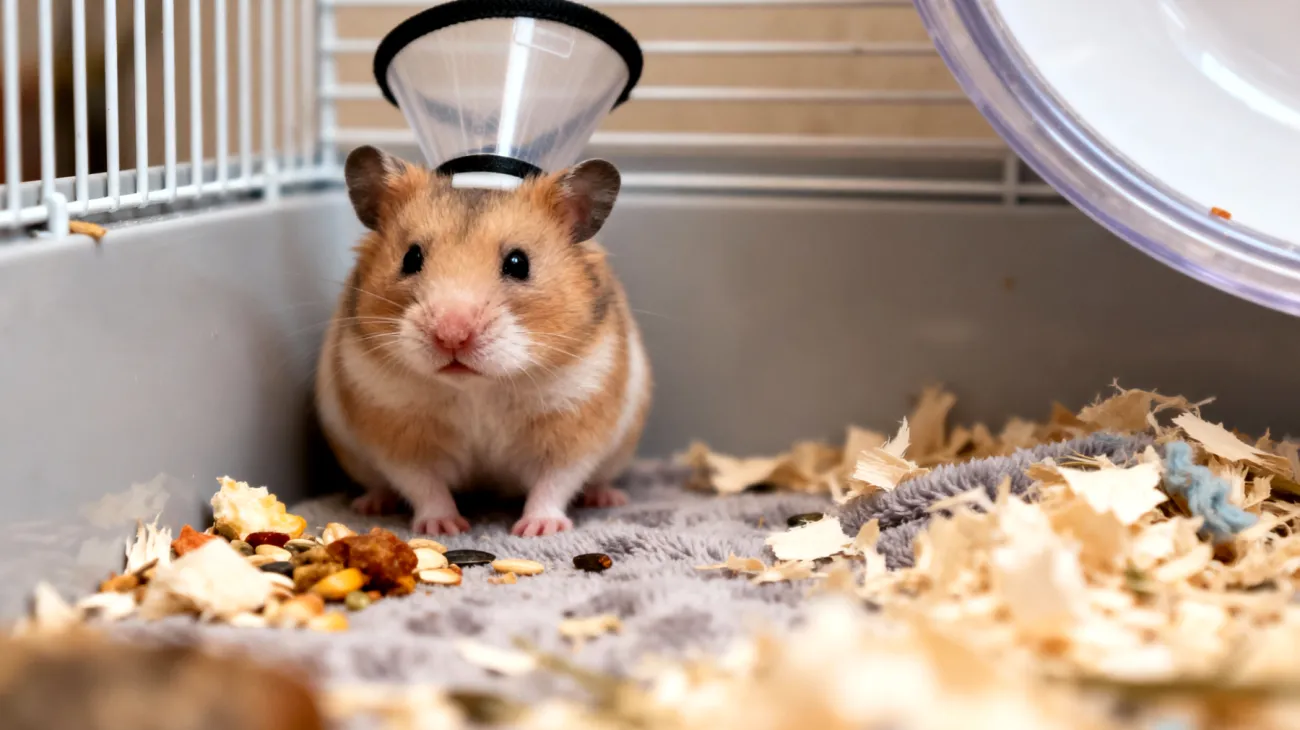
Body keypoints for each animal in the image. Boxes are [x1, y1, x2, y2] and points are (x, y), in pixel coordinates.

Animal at [315, 146, 652, 537]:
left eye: (519, 263)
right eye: (411, 258)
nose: (451, 335)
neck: (477, 388)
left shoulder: (574, 420)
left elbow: (555, 482)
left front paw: (537, 530)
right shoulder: (396, 429)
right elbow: (423, 484)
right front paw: (442, 528)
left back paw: (607, 498)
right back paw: (372, 504)